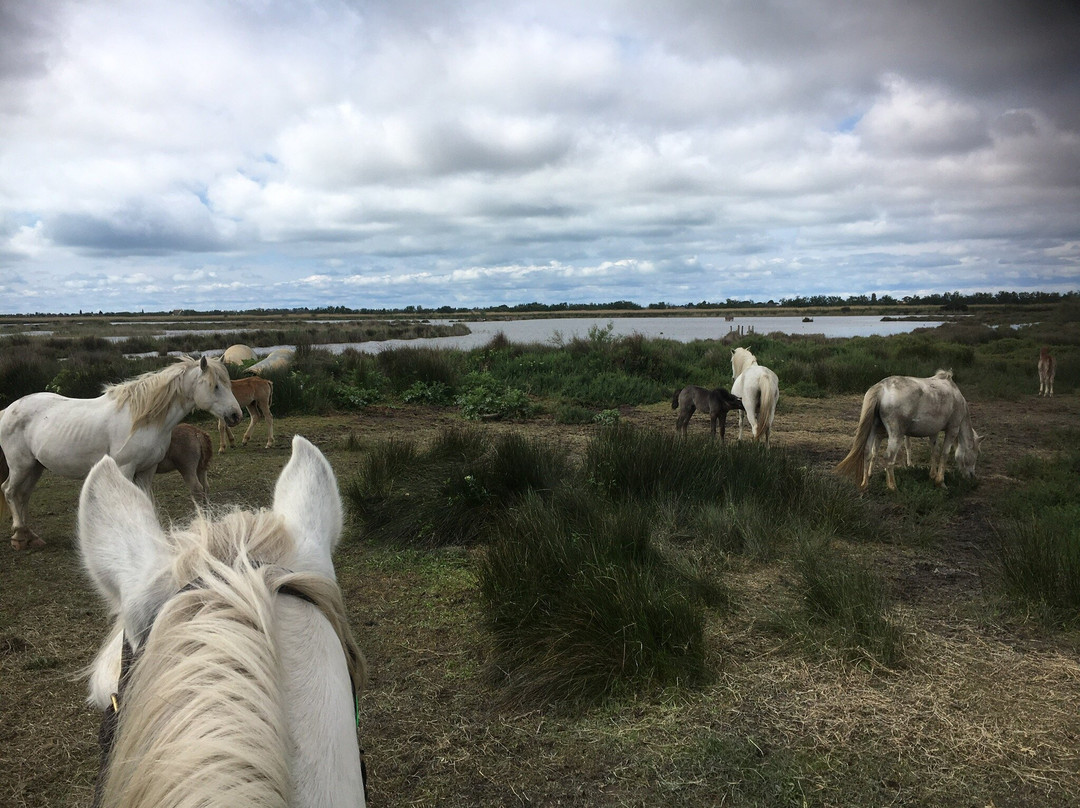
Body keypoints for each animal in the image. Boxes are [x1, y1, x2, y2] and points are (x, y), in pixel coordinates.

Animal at [0, 358, 240, 553]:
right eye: (215, 386)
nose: (236, 415)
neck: (142, 419)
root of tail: (8, 409)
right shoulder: (125, 468)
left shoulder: (147, 470)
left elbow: (145, 499)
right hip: (21, 466)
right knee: (10, 491)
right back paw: (19, 536)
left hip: (35, 467)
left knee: (23, 495)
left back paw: (30, 536)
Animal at [829, 369, 984, 488]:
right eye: (975, 454)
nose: (972, 476)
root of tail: (880, 388)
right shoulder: (953, 429)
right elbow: (944, 454)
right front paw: (941, 482)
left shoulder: (933, 432)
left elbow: (934, 451)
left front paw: (932, 475)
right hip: (896, 434)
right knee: (889, 457)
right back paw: (892, 487)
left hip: (874, 429)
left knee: (867, 452)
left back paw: (865, 484)